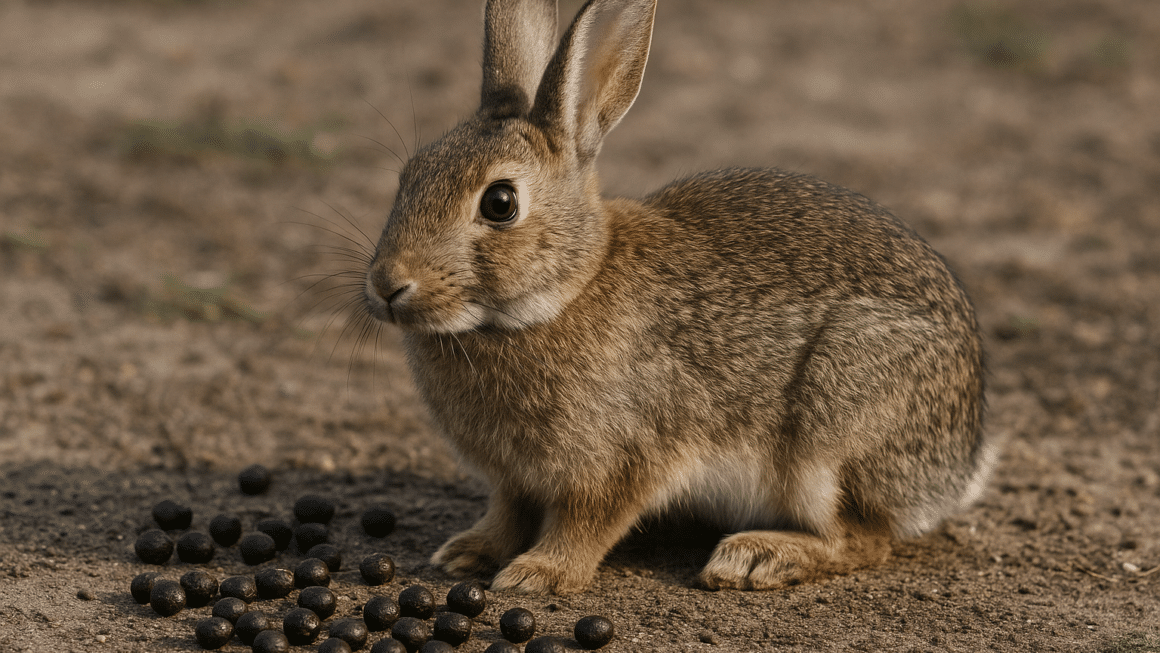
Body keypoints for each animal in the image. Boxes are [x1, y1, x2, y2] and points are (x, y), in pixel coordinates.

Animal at [362, 0, 995, 594]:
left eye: (500, 203)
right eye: (409, 176)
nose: (387, 285)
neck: (561, 293)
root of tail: (960, 459)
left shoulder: (626, 458)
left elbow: (587, 524)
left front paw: (538, 575)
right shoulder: (512, 478)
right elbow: (506, 513)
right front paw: (466, 553)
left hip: (835, 428)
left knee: (865, 539)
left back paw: (756, 557)